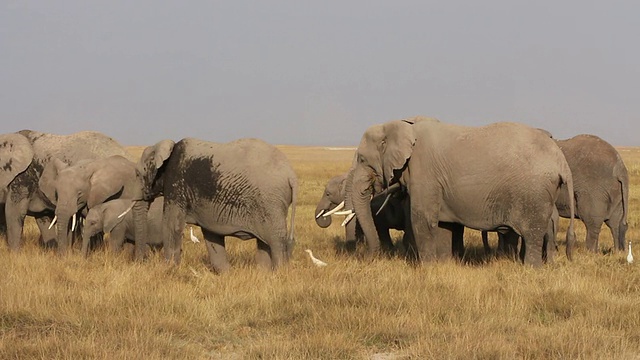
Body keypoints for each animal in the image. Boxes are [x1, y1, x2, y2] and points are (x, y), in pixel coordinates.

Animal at [134, 138, 298, 272]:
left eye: (138, 174)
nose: (141, 261)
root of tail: (291, 175)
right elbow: (211, 234)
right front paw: (226, 274)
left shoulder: (176, 183)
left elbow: (171, 225)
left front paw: (168, 269)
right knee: (264, 242)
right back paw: (263, 274)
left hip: (270, 201)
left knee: (276, 241)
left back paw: (279, 273)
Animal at [348, 116, 576, 266]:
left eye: (362, 160)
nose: (366, 258)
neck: (400, 125)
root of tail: (560, 159)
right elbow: (444, 225)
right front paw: (445, 266)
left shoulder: (425, 173)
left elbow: (423, 219)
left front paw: (426, 269)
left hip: (534, 192)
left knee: (532, 234)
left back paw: (530, 268)